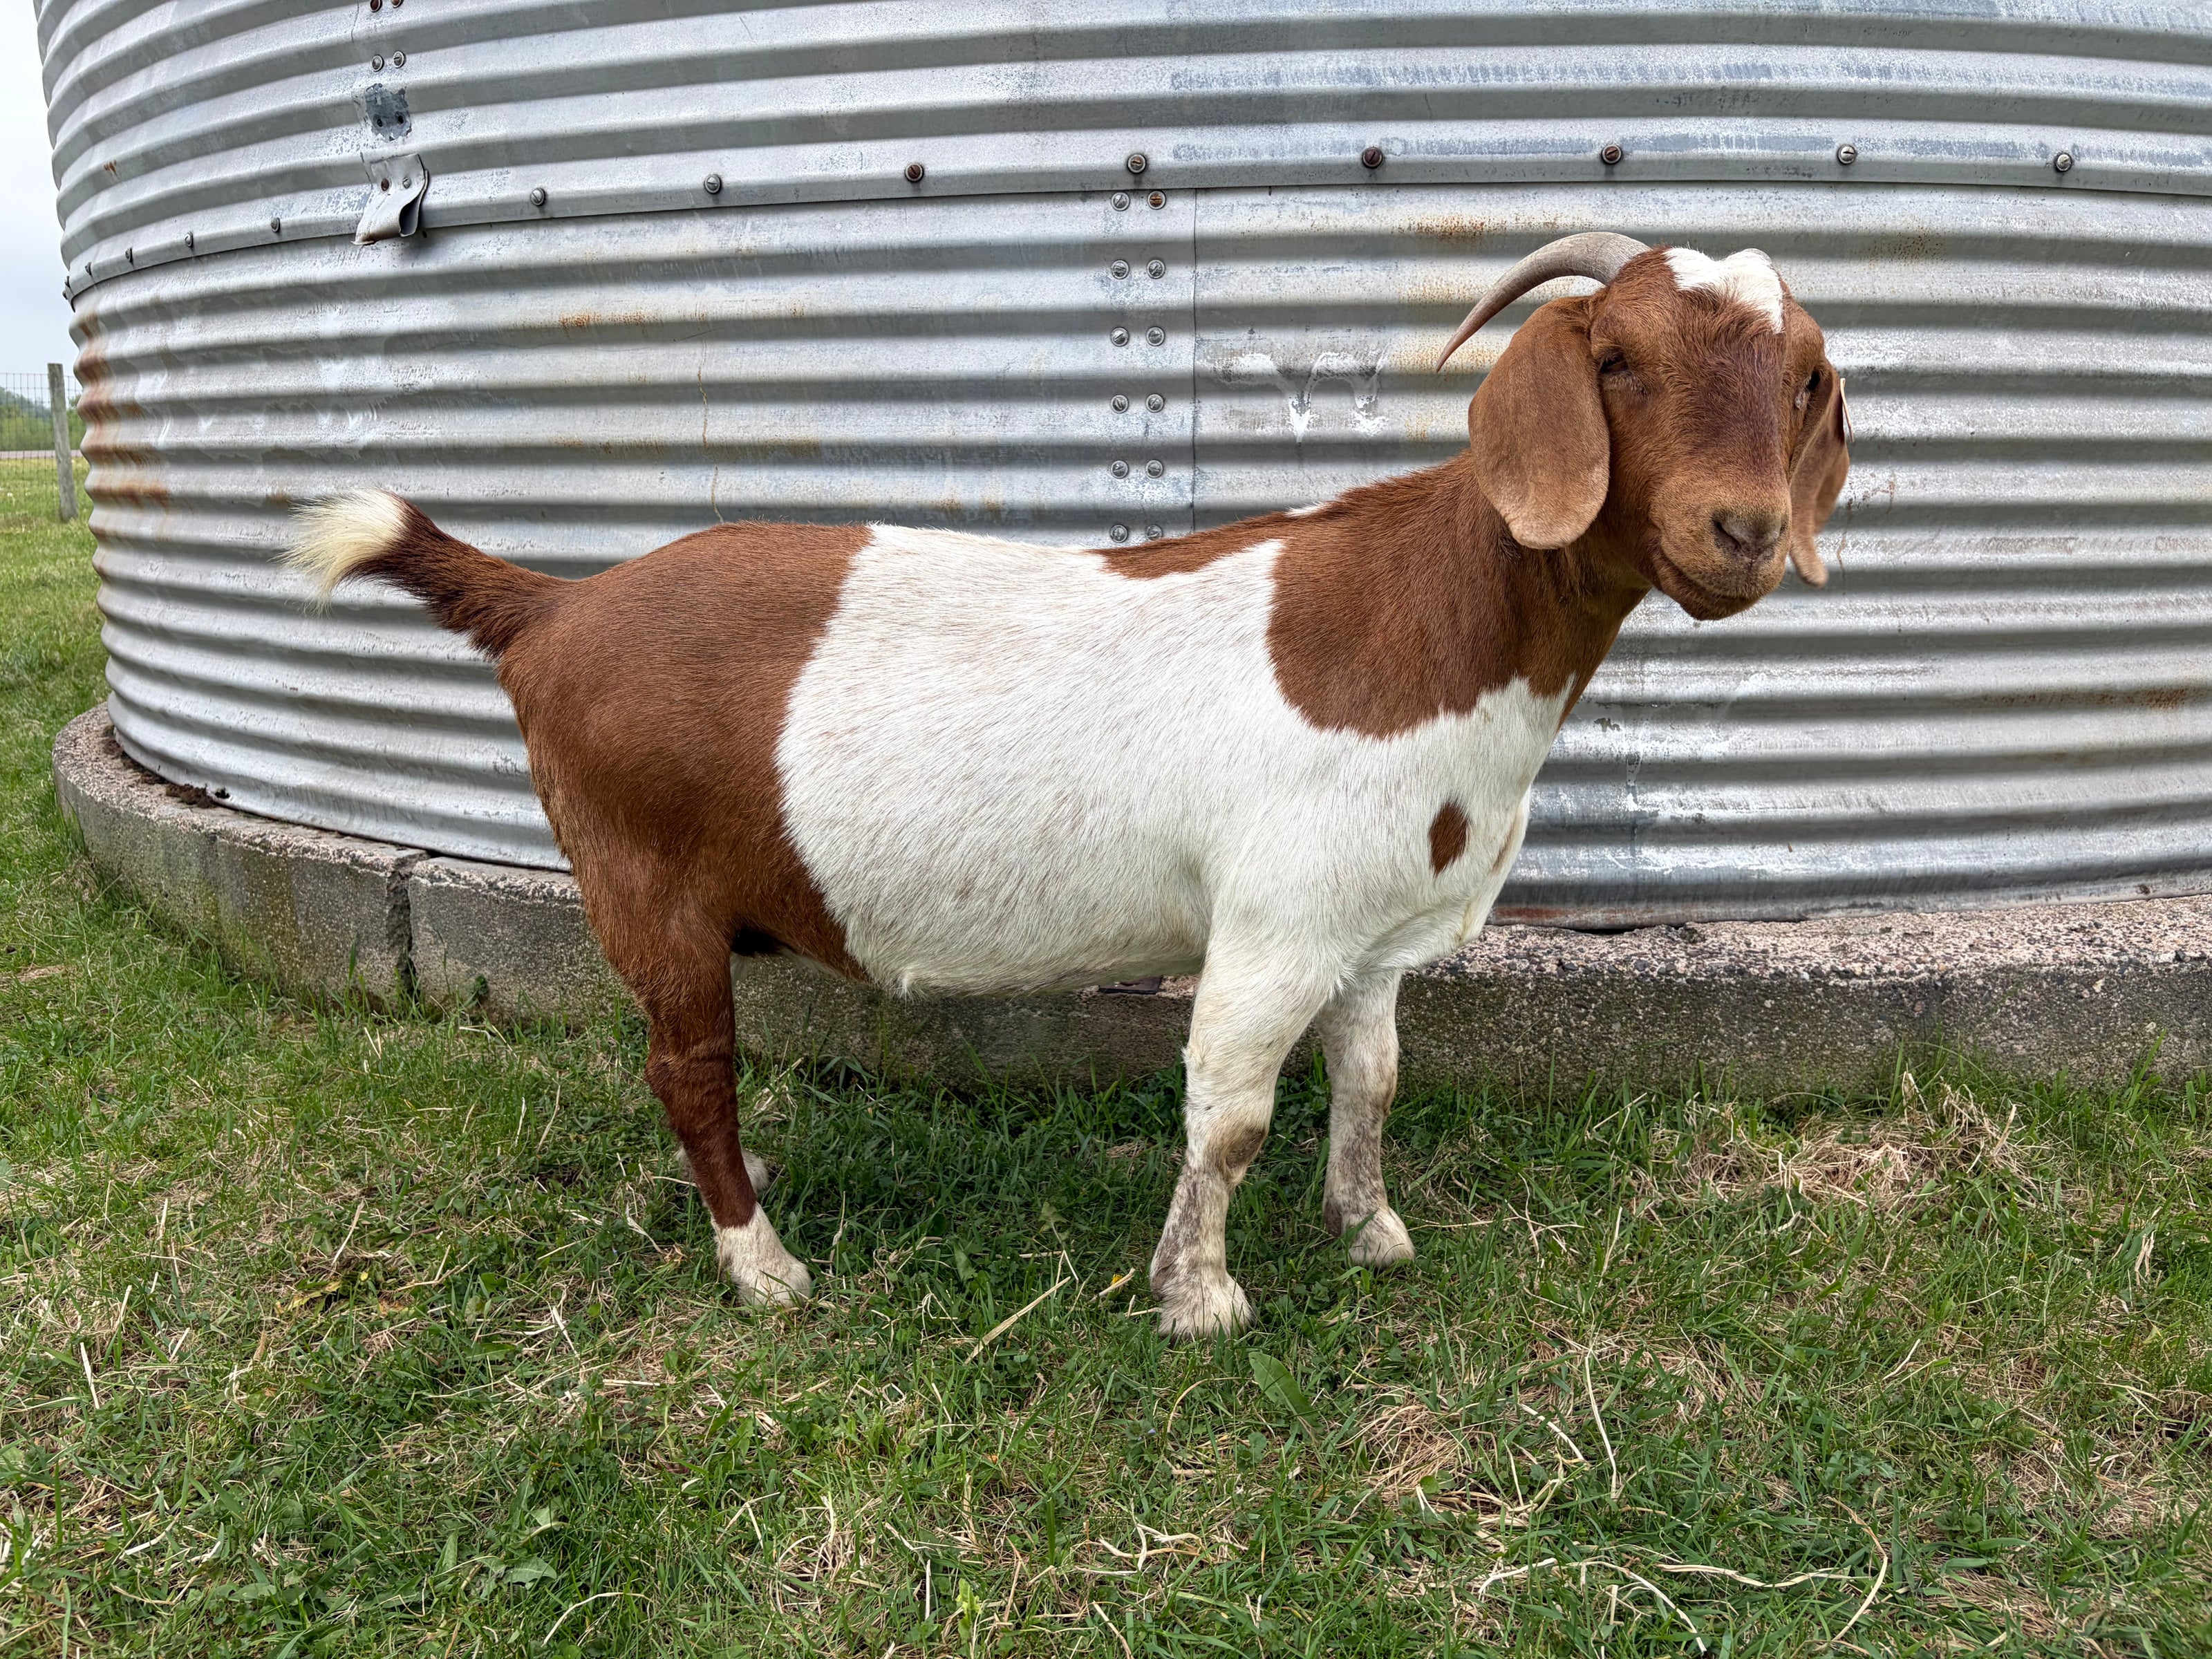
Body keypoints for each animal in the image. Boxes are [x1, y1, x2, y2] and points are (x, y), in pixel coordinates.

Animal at [289, 232, 1851, 1338]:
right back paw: (764, 1267)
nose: (1742, 532)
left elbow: (1372, 1080)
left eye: (1804, 380)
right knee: (689, 1069)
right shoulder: (1274, 923)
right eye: (1620, 360)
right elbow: (1229, 1115)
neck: (1433, 618)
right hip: (644, 877)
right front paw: (1199, 1299)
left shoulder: (1369, 929)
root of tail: (554, 609)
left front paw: (1366, 1233)